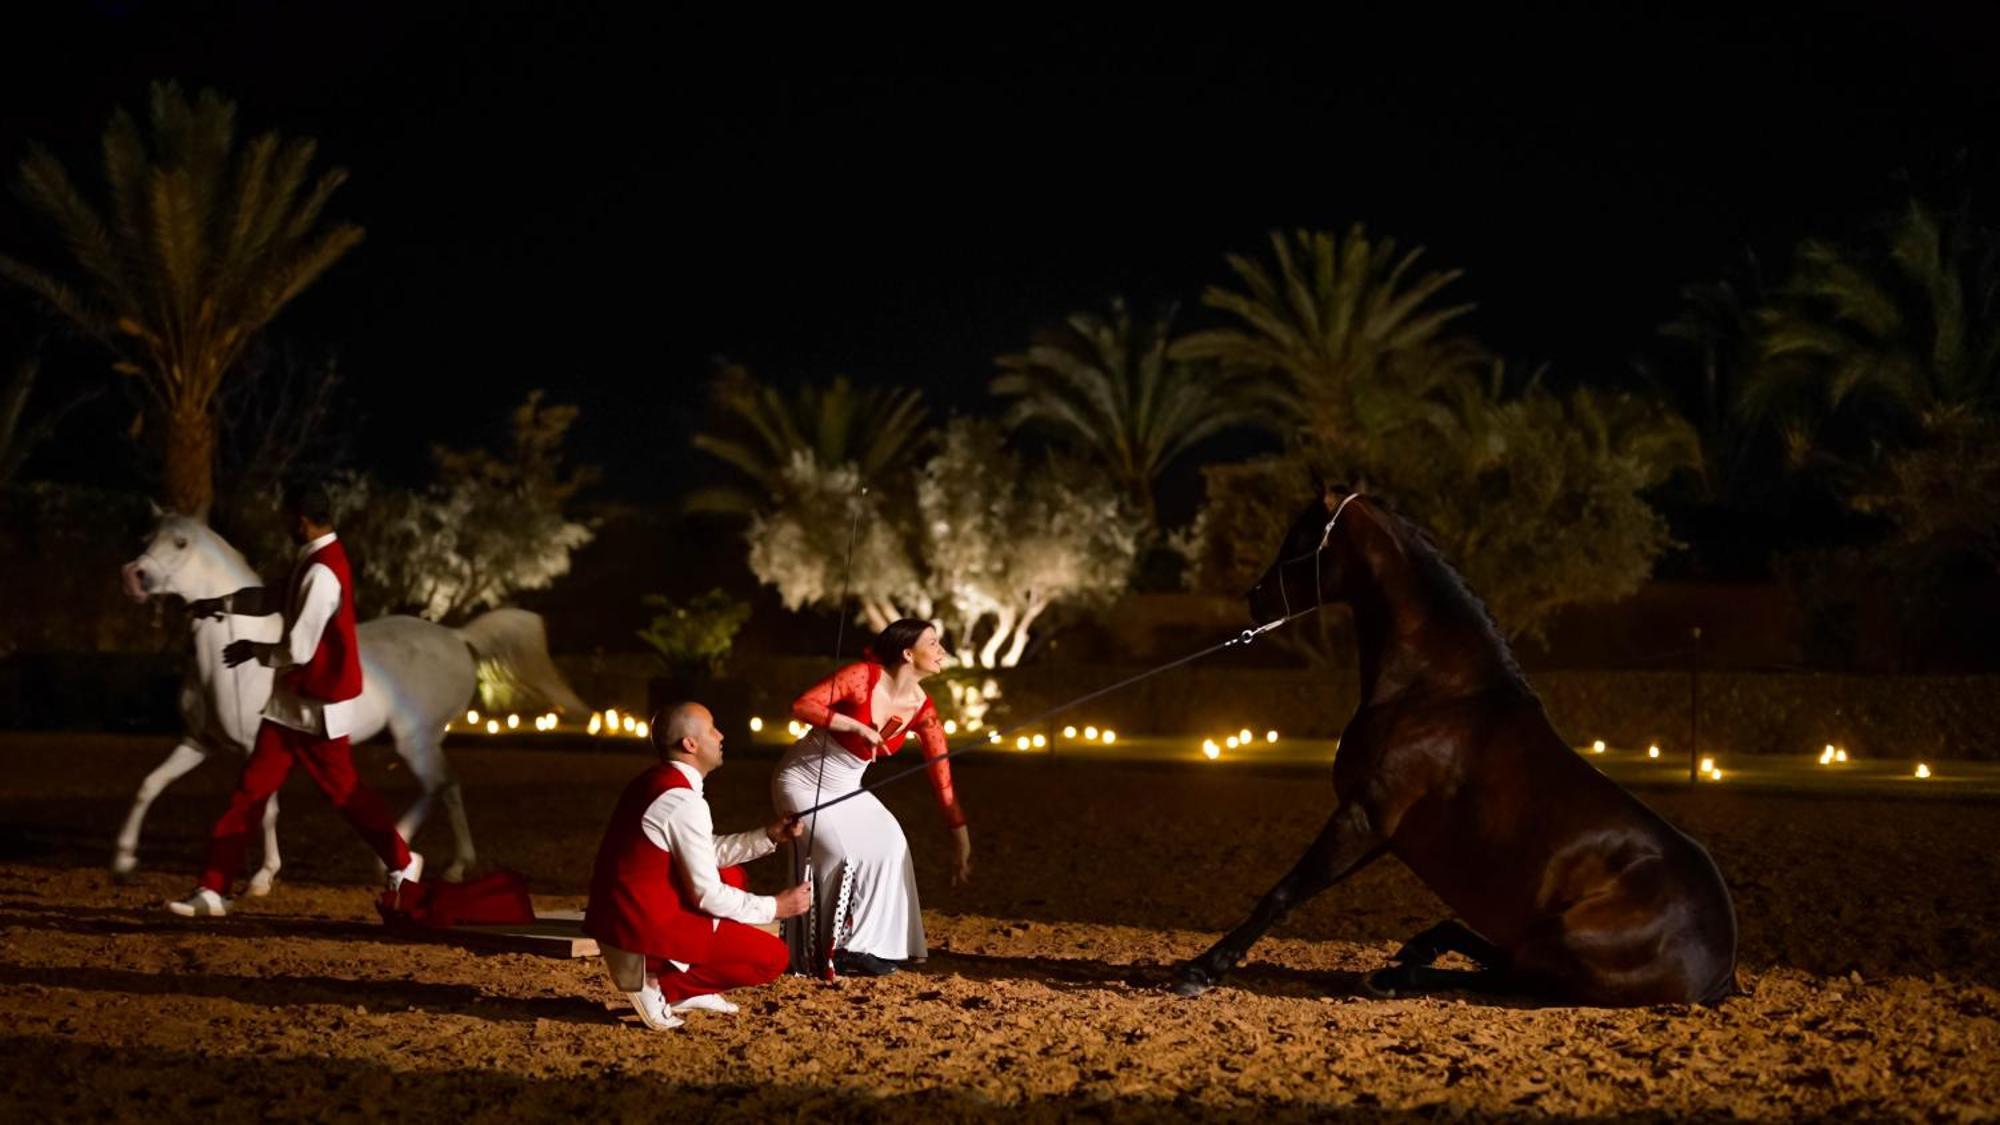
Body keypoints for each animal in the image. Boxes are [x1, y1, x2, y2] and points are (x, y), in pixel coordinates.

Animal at [116, 512, 584, 888]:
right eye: (148, 537)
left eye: (180, 543)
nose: (133, 576)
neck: (224, 664)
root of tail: (456, 637)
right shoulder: (199, 743)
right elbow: (148, 785)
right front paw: (123, 859)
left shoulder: (255, 746)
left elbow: (265, 810)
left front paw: (264, 876)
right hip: (424, 741)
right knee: (446, 786)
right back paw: (446, 866)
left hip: (414, 738)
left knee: (436, 785)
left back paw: (400, 861)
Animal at [1168, 486, 1736, 1000]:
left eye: (1301, 538)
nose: (1255, 596)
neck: (1436, 690)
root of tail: (1723, 963)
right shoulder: (1380, 833)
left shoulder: (1362, 818)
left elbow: (1282, 893)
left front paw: (1202, 969)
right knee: (1498, 956)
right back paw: (1414, 954)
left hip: (1565, 941)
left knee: (1509, 975)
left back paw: (1395, 977)